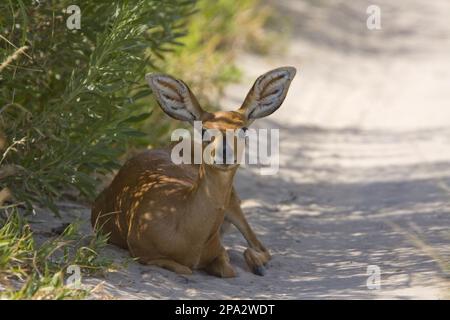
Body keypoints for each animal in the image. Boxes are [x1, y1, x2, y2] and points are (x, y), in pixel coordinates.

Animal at [90, 66, 296, 276]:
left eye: (243, 129)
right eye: (204, 130)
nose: (224, 153)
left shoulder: (217, 250)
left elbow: (228, 268)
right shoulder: (141, 251)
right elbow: (185, 269)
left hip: (234, 204)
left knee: (260, 248)